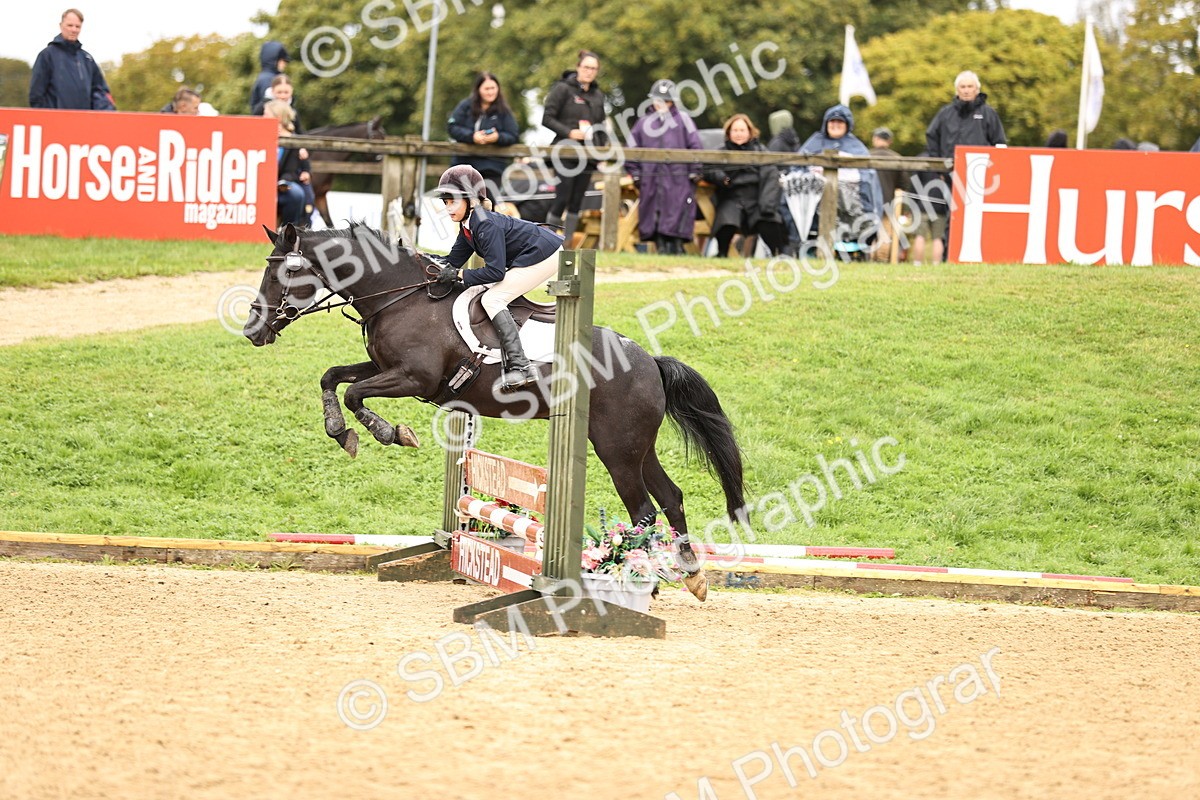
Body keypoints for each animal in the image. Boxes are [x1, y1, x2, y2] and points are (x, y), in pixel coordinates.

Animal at [244, 223, 747, 600]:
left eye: (284, 275)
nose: (252, 331)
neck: (401, 296)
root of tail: (650, 362)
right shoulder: (385, 367)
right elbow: (332, 378)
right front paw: (341, 431)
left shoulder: (412, 378)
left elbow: (355, 395)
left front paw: (390, 433)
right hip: (636, 446)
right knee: (671, 497)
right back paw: (691, 576)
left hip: (616, 448)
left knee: (644, 509)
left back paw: (632, 575)